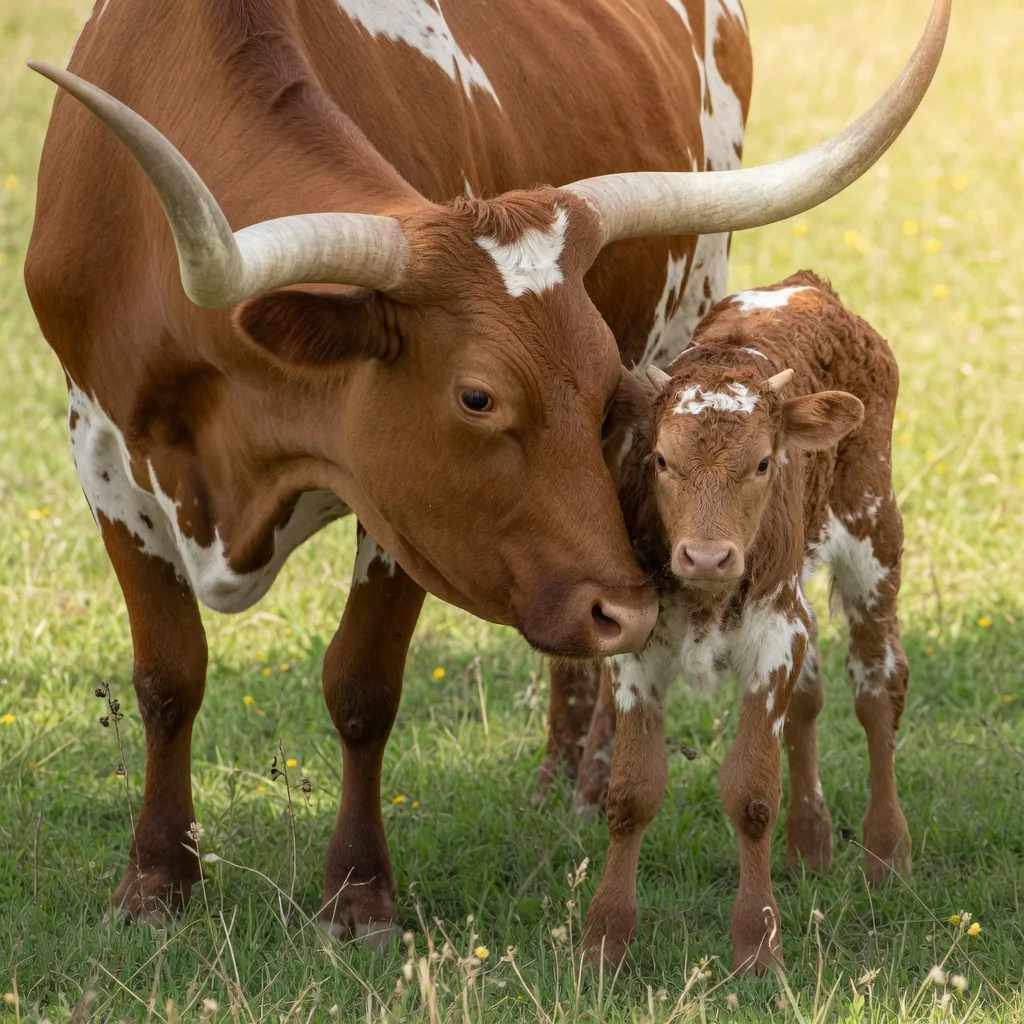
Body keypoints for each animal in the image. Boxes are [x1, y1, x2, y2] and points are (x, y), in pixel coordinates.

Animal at [575, 272, 911, 972]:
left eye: (761, 463)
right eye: (660, 460)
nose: (706, 556)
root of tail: (806, 286)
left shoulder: (773, 638)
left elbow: (752, 792)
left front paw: (758, 946)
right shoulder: (638, 654)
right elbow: (631, 792)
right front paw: (604, 940)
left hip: (874, 536)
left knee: (876, 690)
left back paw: (887, 852)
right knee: (809, 699)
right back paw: (809, 843)